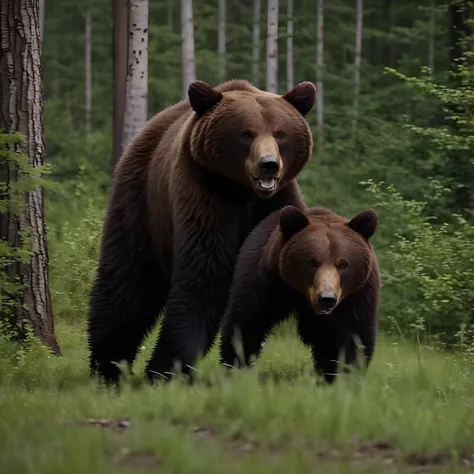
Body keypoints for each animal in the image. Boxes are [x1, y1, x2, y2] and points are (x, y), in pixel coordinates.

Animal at [88, 78, 318, 384]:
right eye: (246, 134)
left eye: (280, 134)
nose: (268, 164)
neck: (243, 193)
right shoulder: (204, 198)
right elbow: (203, 277)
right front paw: (165, 370)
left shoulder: (277, 207)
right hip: (140, 203)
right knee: (126, 282)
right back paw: (106, 365)